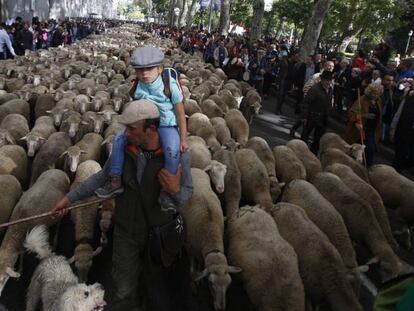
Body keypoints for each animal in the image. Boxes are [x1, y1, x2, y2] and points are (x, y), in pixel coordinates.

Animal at [180, 168, 241, 311]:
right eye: (211, 283)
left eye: (229, 283)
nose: (220, 308)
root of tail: (194, 168)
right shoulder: (189, 248)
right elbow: (192, 270)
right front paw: (194, 286)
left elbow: (201, 264)